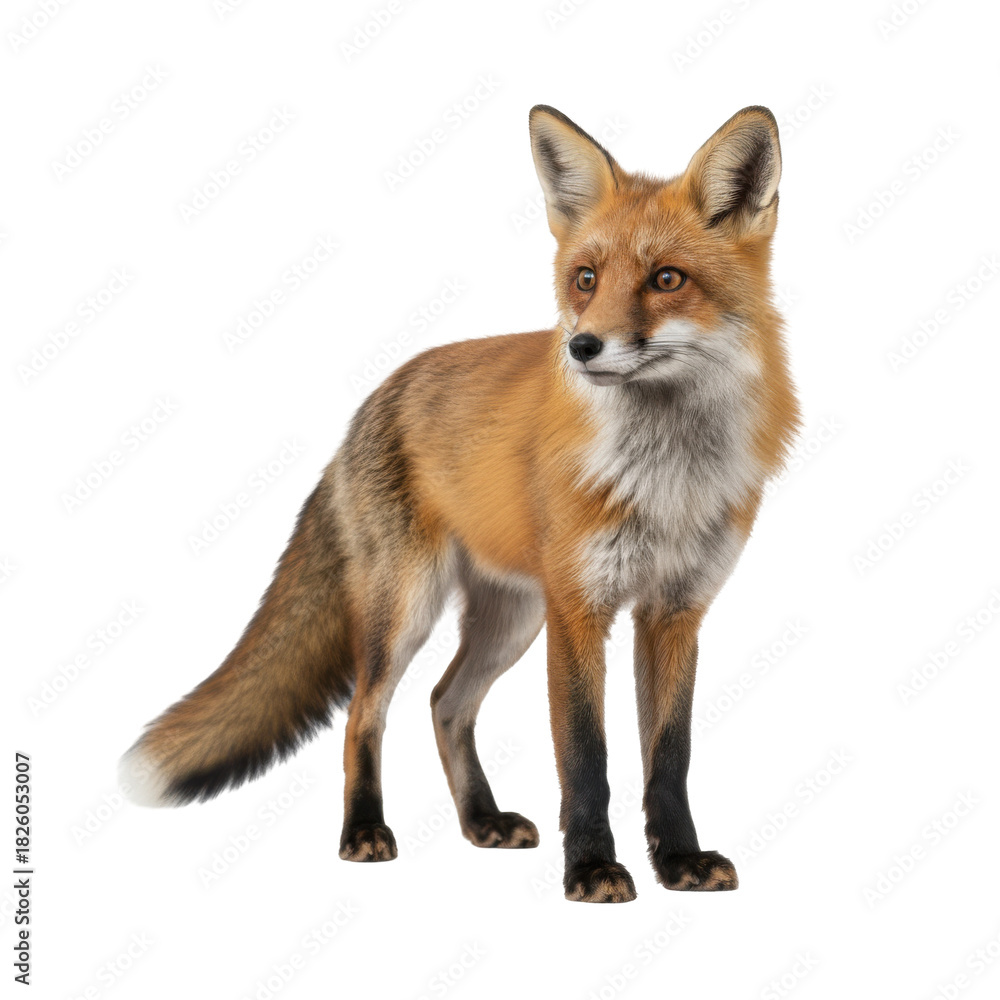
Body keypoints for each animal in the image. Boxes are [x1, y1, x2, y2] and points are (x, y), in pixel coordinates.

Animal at [120, 104, 800, 902]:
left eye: (667, 279)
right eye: (585, 279)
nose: (583, 347)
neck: (664, 477)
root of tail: (376, 398)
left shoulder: (674, 612)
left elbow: (669, 756)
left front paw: (679, 862)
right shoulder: (579, 610)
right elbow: (586, 758)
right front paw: (592, 868)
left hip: (512, 617)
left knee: (446, 703)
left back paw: (481, 821)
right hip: (409, 608)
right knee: (364, 714)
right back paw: (363, 831)